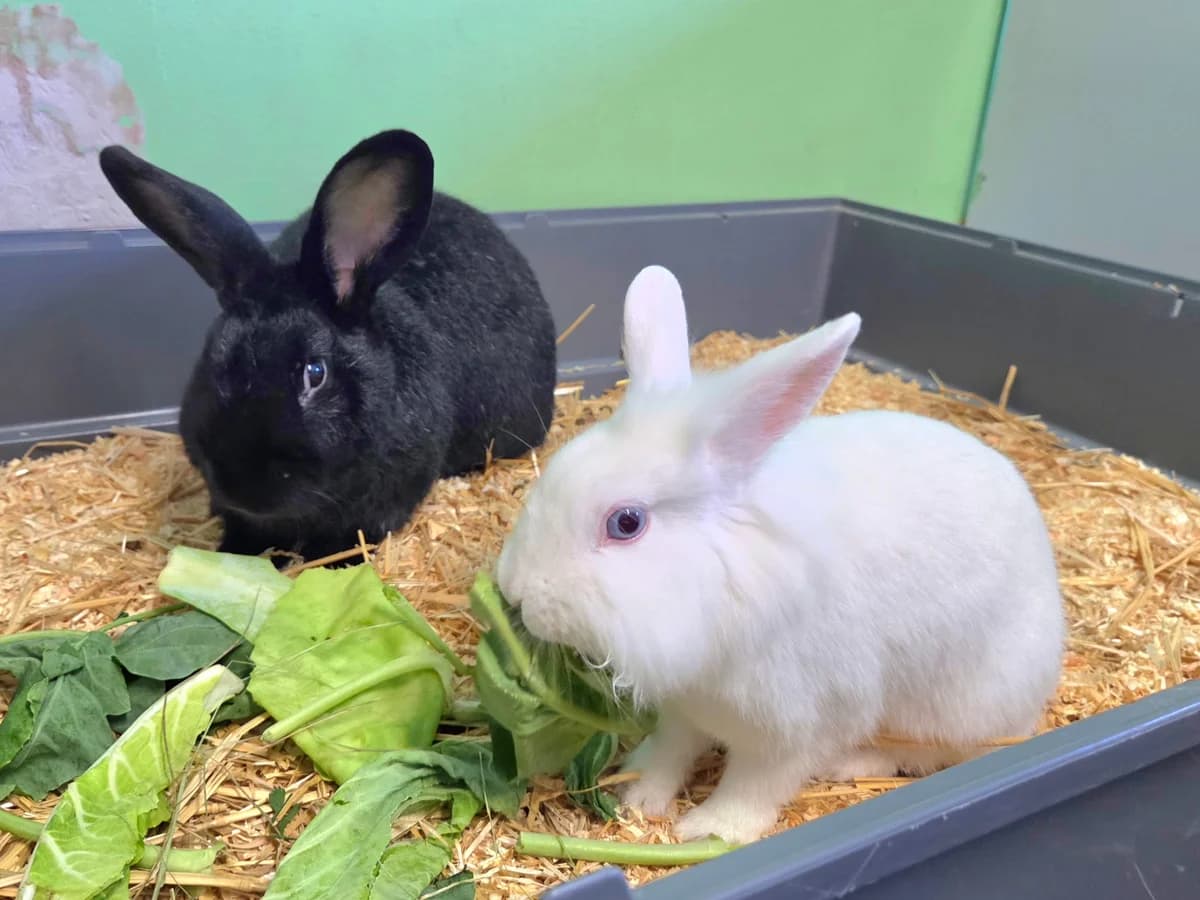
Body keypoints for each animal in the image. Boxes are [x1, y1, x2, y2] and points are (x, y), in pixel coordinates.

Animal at [98, 130, 557, 562]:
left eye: (315, 373)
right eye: (213, 360)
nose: (244, 487)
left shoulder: (380, 506)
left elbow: (345, 543)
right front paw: (230, 552)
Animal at [495, 265, 1066, 845]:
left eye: (626, 523)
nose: (513, 592)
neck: (726, 572)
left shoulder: (795, 726)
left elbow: (756, 784)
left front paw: (709, 831)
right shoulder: (683, 706)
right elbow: (671, 751)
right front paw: (636, 795)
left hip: (951, 711)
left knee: (919, 753)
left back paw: (850, 764)